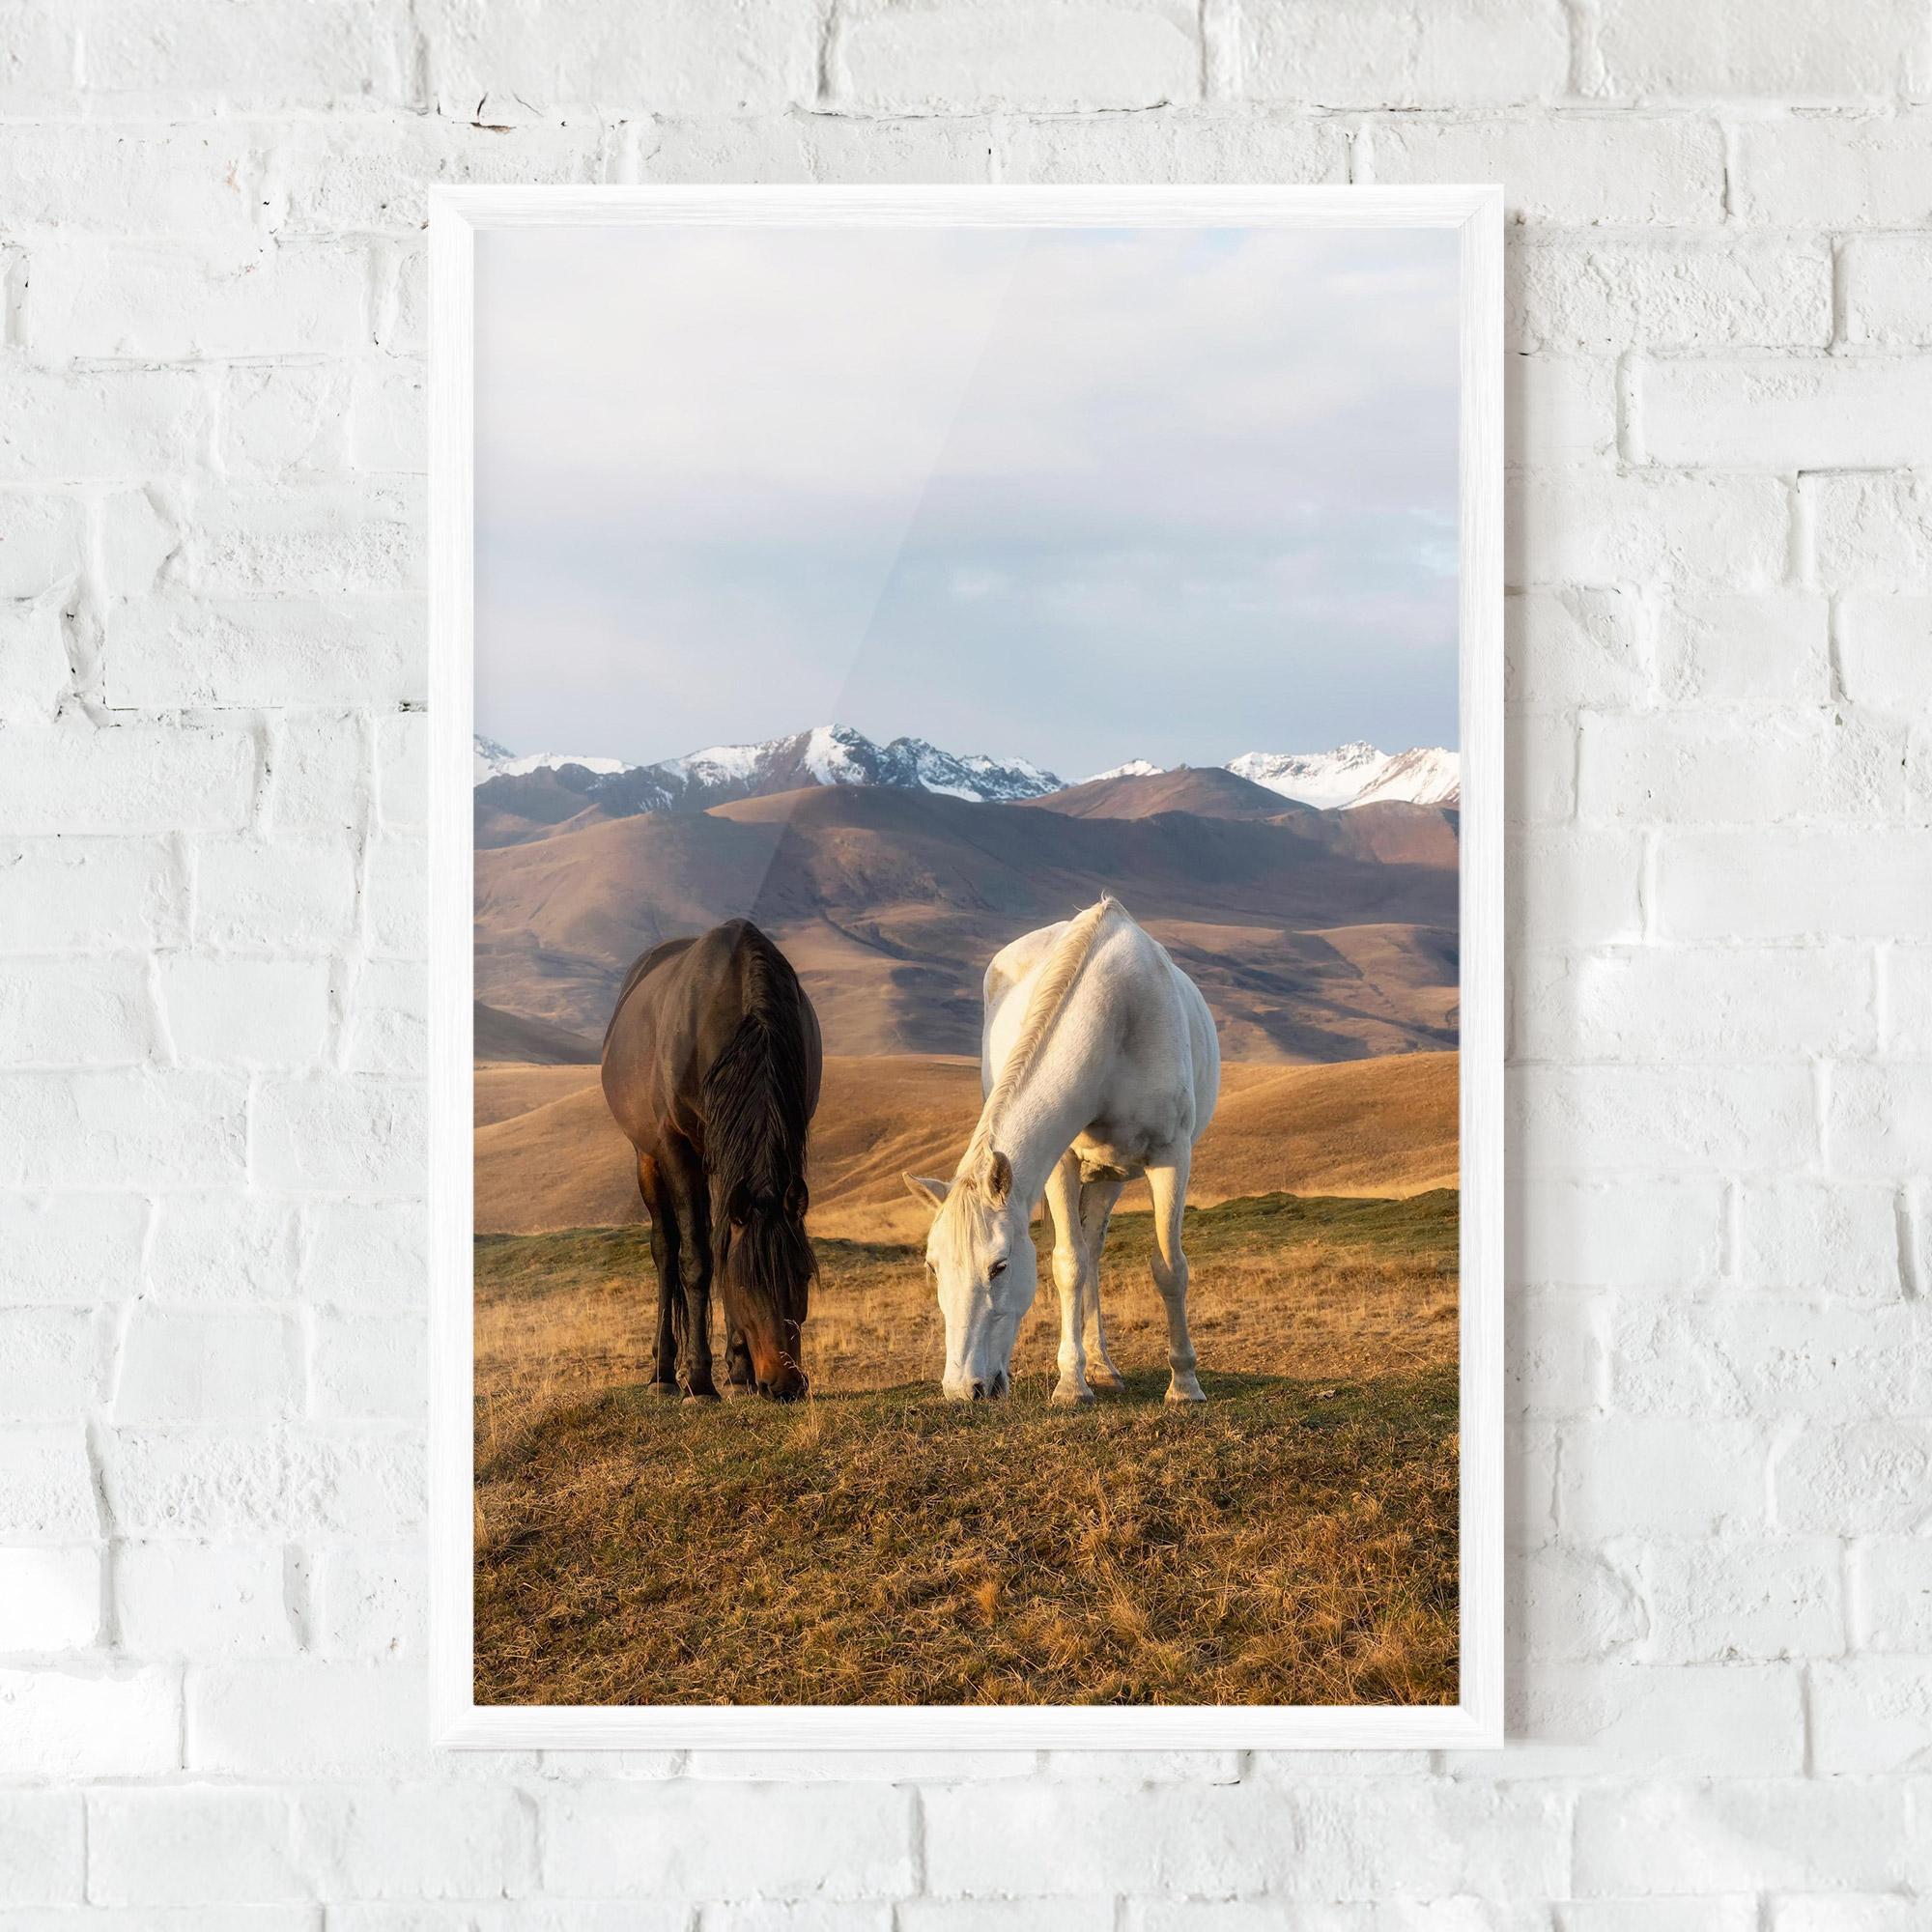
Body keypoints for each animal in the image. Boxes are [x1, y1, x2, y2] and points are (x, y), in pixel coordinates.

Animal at [601, 919, 822, 1402]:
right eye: (745, 1284)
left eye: (802, 1275)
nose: (785, 1385)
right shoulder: (676, 1147)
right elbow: (698, 1260)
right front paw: (700, 1380)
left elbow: (722, 1245)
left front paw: (739, 1371)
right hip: (647, 1158)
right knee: (666, 1250)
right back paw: (664, 1372)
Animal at [903, 896, 1220, 1405]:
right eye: (933, 1267)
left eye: (1000, 1266)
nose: (963, 1389)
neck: (1116, 1015)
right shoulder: (1061, 1164)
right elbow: (1067, 1264)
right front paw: (1071, 1383)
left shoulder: (1171, 1158)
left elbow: (1170, 1267)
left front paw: (1185, 1384)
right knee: (1083, 1255)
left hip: (1112, 1176)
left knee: (1096, 1250)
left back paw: (1108, 1367)